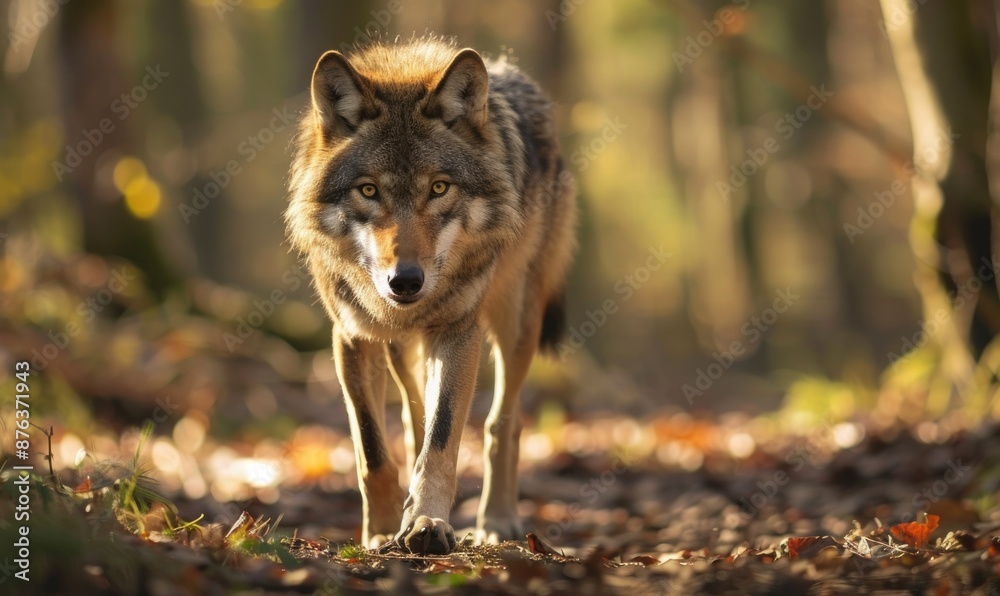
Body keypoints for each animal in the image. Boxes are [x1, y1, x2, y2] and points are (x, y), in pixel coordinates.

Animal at [285, 39, 576, 555]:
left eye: (439, 188)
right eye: (368, 190)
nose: (405, 282)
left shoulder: (458, 331)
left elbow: (442, 441)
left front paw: (427, 523)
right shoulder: (352, 337)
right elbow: (374, 452)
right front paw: (381, 532)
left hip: (517, 324)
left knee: (502, 424)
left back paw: (496, 519)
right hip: (402, 349)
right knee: (412, 418)